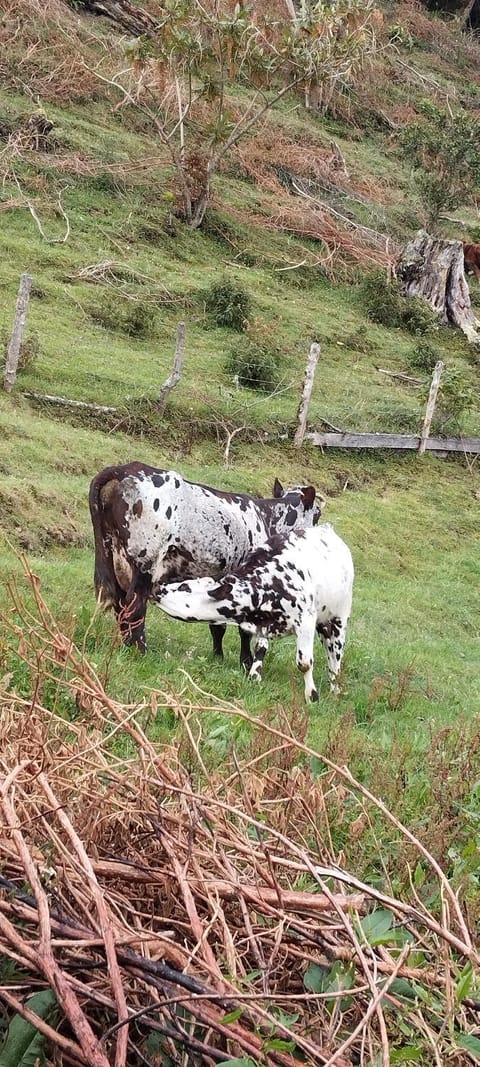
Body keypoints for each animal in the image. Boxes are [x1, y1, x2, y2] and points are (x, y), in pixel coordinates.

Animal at [88, 465, 324, 670]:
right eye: (317, 514)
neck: (266, 518)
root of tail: (123, 469)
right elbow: (244, 629)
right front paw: (245, 662)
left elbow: (216, 625)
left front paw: (217, 657)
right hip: (145, 565)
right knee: (134, 606)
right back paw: (139, 651)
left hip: (111, 559)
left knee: (119, 605)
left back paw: (123, 646)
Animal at [155, 522, 354, 704]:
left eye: (184, 586)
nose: (156, 588)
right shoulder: (262, 625)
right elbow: (260, 647)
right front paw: (254, 676)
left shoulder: (305, 622)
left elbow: (304, 663)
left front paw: (311, 696)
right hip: (323, 623)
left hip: (340, 616)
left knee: (336, 651)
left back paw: (335, 686)